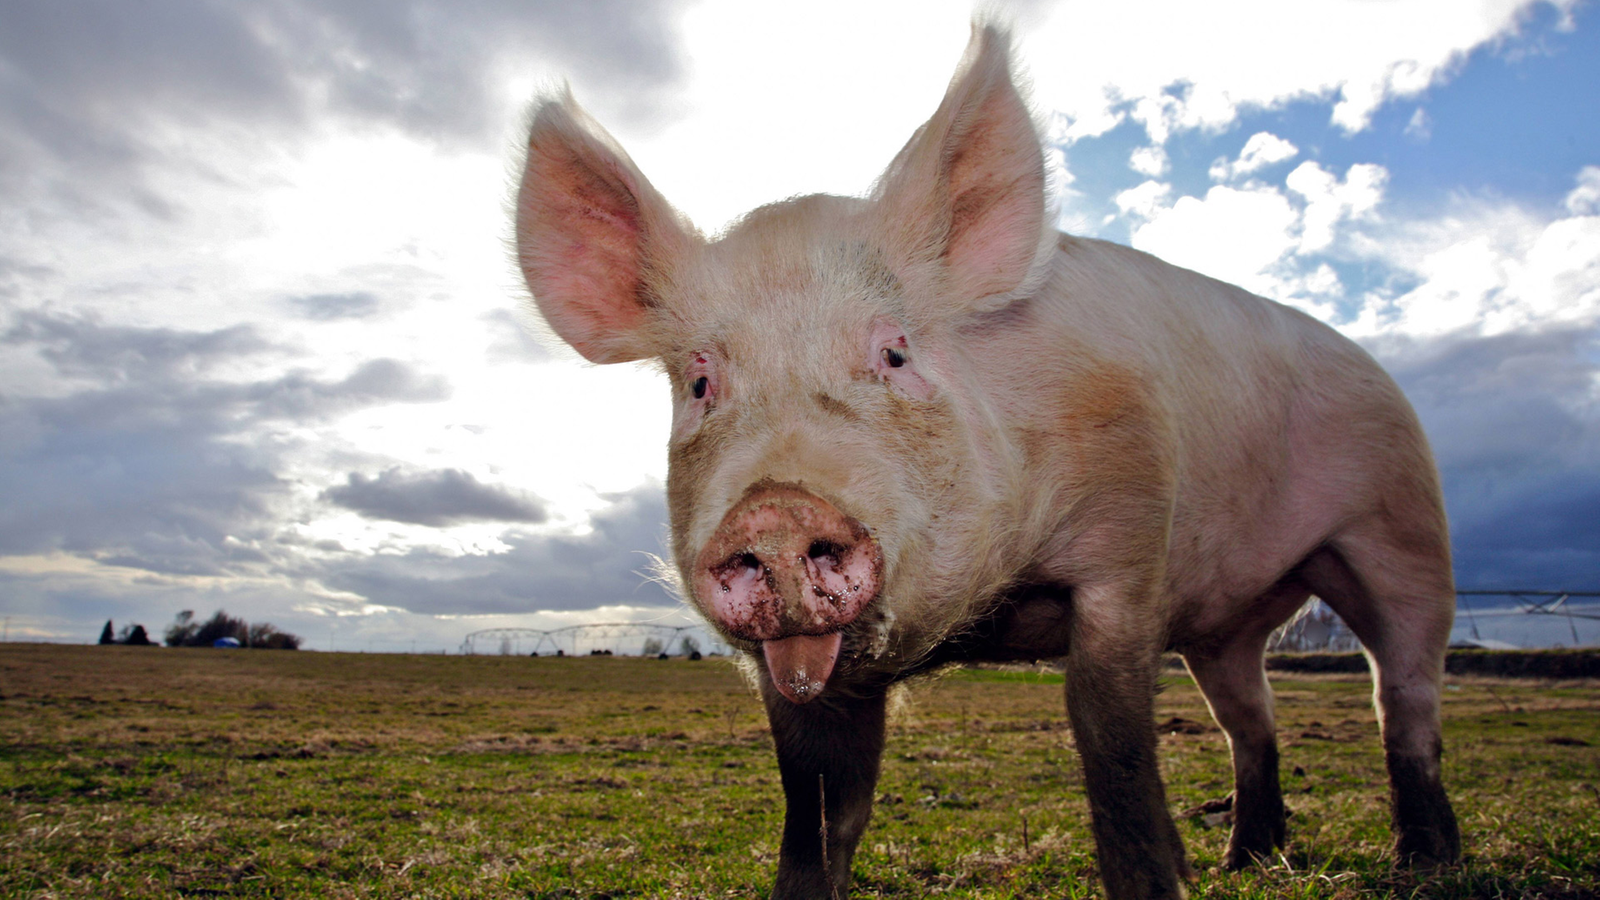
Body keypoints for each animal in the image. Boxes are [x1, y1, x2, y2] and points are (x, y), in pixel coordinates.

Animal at [512, 22, 1465, 896]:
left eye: (895, 353)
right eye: (701, 382)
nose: (776, 507)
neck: (986, 614)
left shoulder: (1129, 547)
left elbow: (1117, 758)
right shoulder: (790, 668)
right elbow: (819, 809)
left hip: (1401, 524)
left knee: (1401, 692)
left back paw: (1425, 861)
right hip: (1227, 621)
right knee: (1248, 715)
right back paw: (1248, 861)